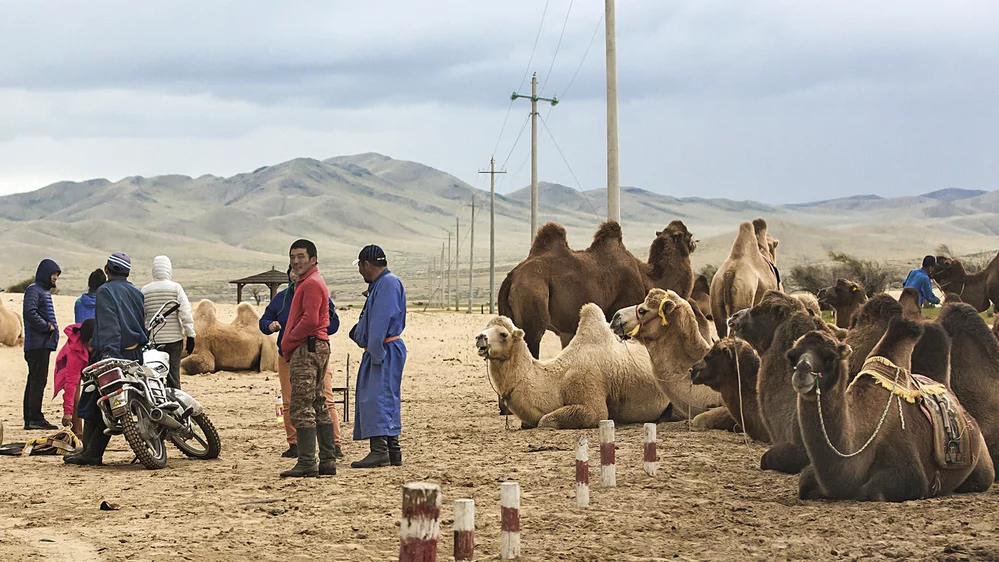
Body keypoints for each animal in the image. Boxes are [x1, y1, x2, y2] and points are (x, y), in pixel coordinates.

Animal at [474, 302, 668, 428]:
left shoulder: (590, 395)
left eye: (503, 334)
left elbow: (544, 421)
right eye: (486, 327)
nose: (480, 337)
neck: (556, 380)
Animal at [500, 220, 696, 358]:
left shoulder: (569, 330)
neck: (646, 277)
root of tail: (512, 276)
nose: (695, 242)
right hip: (533, 304)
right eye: (688, 234)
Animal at [788, 318, 992, 500]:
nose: (802, 373)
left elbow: (870, 491)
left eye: (830, 357)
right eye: (792, 356)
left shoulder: (907, 467)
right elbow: (804, 481)